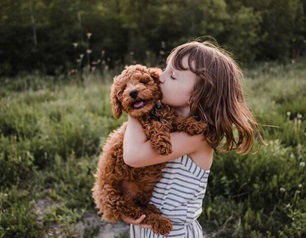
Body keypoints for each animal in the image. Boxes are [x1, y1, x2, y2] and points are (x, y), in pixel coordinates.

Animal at [91, 64, 206, 235]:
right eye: (123, 89)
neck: (151, 112)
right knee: (139, 214)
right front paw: (163, 144)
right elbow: (155, 126)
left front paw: (195, 124)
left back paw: (153, 209)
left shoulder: (166, 118)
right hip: (114, 197)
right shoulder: (146, 126)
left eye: (143, 82)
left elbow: (175, 120)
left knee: (142, 207)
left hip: (143, 190)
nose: (133, 92)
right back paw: (162, 223)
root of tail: (104, 207)